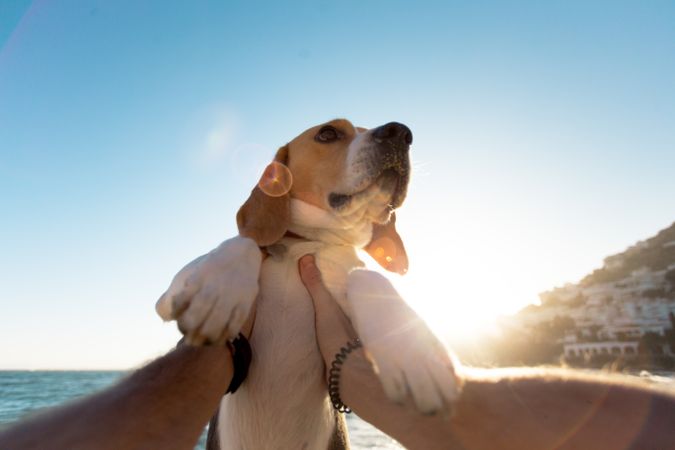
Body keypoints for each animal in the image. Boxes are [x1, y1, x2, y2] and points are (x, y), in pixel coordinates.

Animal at [155, 119, 460, 450]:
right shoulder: (169, 296)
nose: (400, 132)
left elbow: (366, 275)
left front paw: (414, 350)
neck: (307, 244)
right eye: (328, 133)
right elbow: (243, 243)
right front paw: (218, 290)